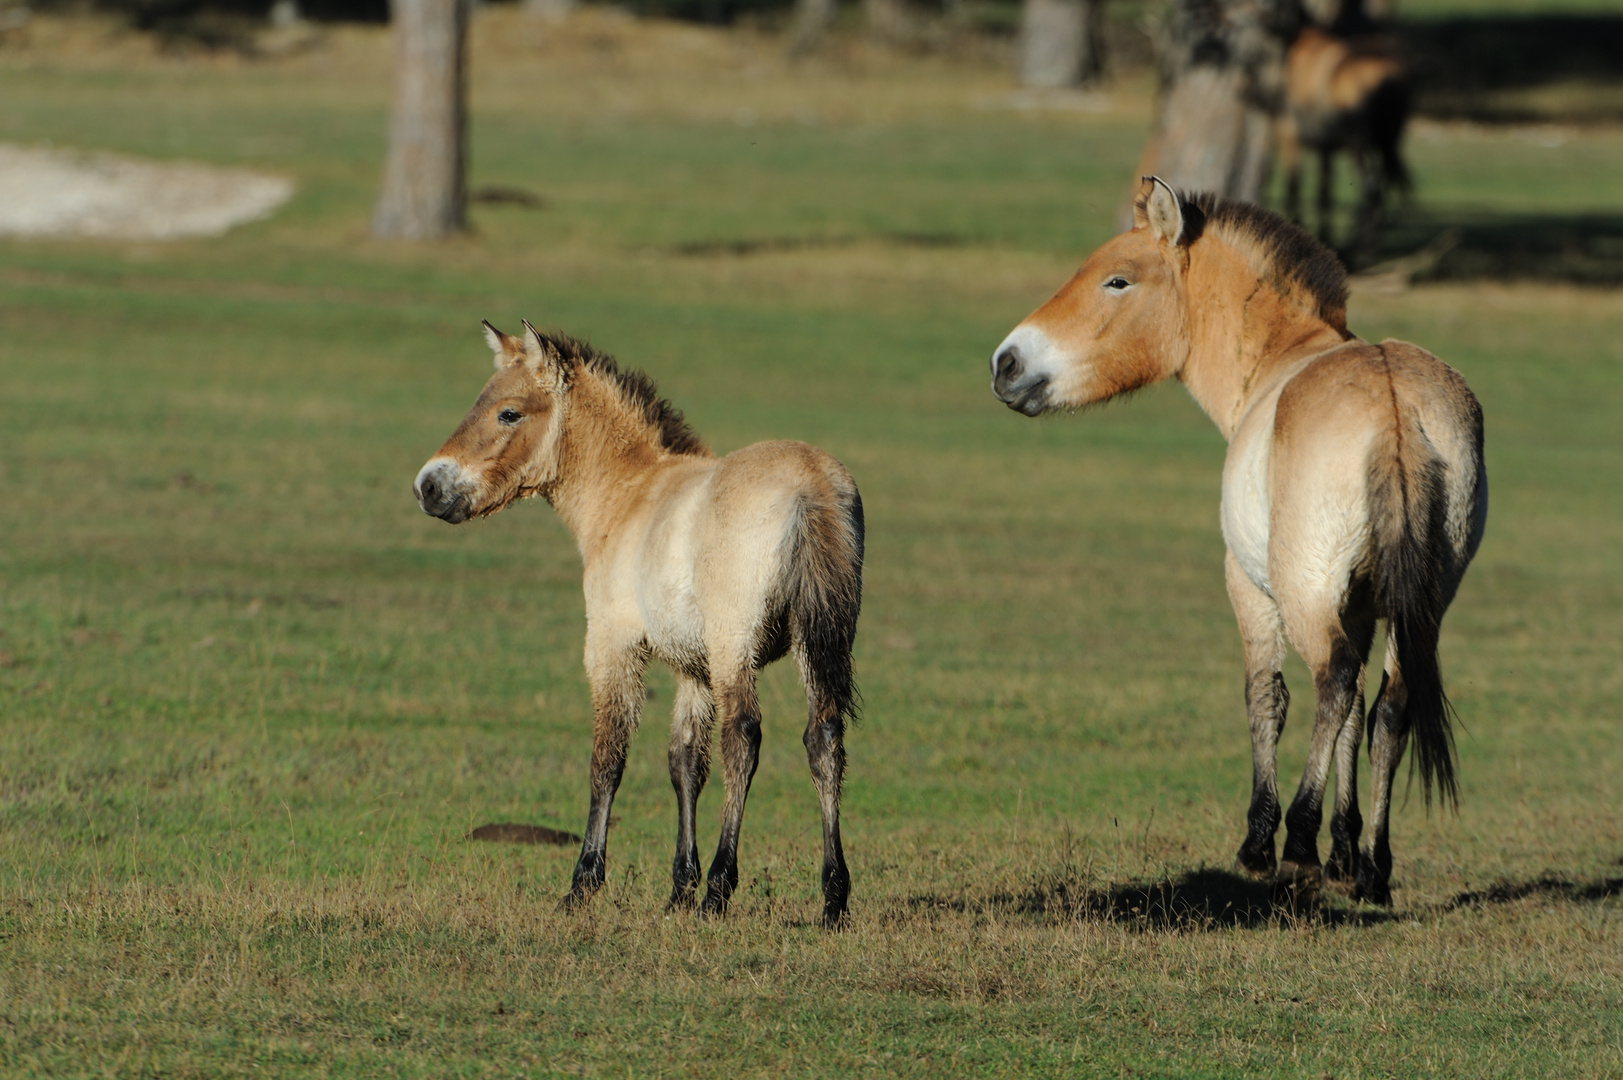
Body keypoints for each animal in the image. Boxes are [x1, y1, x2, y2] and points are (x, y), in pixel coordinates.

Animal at [415, 319, 863, 928]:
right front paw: (677, 890)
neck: (630, 492)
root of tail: (810, 488)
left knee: (743, 737)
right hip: (817, 644)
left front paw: (583, 885)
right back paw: (833, 899)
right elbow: (685, 764)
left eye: (508, 412)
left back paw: (720, 890)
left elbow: (608, 759)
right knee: (823, 738)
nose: (428, 486)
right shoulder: (692, 669)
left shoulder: (612, 646)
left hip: (736, 646)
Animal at [986, 181, 1486, 902]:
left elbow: (1267, 696)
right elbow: (1358, 717)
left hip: (1304, 593)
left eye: (1117, 280)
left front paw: (1263, 841)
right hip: (1420, 608)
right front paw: (1346, 854)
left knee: (1332, 681)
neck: (1278, 360)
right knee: (1388, 706)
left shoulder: (1249, 588)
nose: (1006, 364)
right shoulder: (1364, 606)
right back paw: (1373, 871)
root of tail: (1394, 403)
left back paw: (1298, 843)